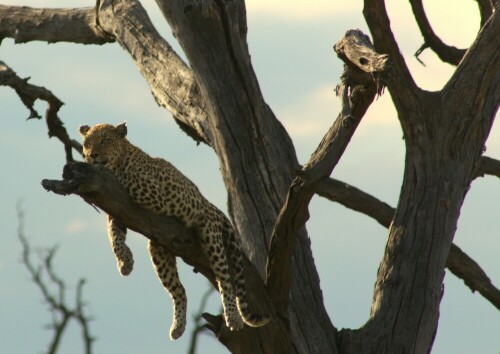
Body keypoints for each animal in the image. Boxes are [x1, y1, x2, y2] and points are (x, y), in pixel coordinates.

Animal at [78, 122, 270, 340]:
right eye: (87, 143)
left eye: (104, 141)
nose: (91, 155)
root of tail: (210, 205)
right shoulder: (118, 210)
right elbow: (115, 238)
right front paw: (125, 262)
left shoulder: (152, 192)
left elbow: (122, 176)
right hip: (159, 250)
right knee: (179, 290)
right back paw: (178, 327)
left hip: (210, 235)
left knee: (225, 279)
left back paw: (233, 318)